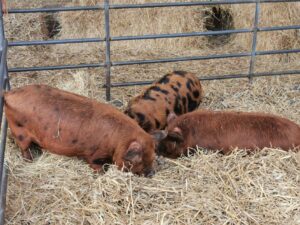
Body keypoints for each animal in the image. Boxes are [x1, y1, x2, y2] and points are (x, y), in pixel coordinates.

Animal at [4, 84, 166, 176]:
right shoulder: (93, 154)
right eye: (138, 160)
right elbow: (96, 166)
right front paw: (101, 174)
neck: (118, 142)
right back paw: (31, 160)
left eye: (153, 155)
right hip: (19, 130)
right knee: (23, 147)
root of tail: (8, 93)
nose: (151, 174)